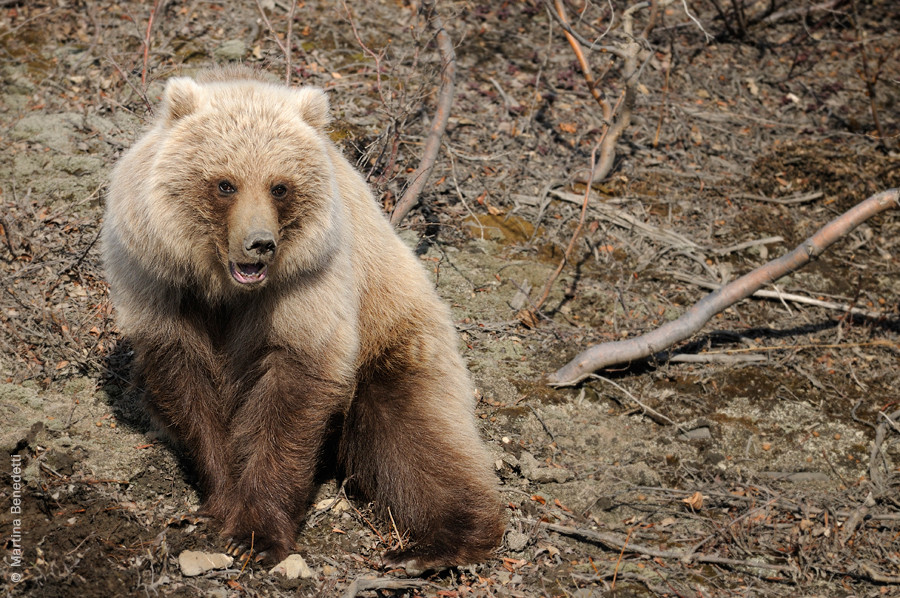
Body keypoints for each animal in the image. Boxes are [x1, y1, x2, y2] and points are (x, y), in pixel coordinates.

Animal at [103, 68, 506, 576]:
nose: (260, 243)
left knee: (415, 439)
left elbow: (293, 395)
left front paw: (255, 535)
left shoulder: (305, 292)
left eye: (280, 185)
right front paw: (221, 500)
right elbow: (188, 389)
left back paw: (430, 547)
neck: (224, 290)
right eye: (225, 183)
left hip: (393, 334)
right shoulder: (162, 288)